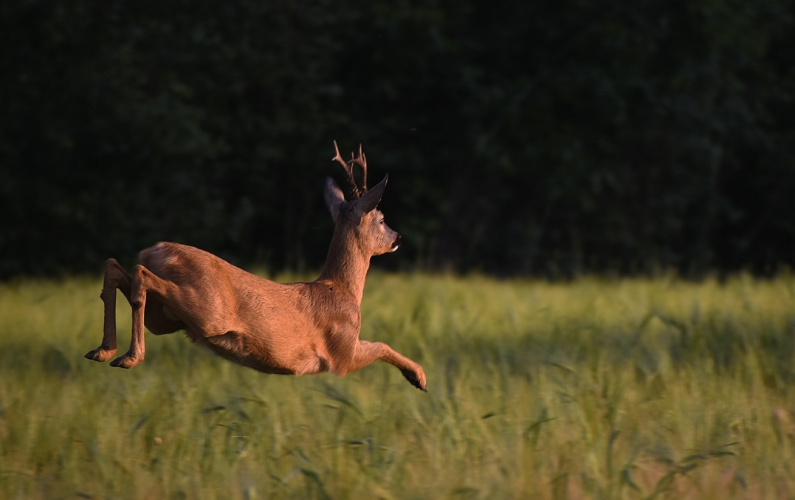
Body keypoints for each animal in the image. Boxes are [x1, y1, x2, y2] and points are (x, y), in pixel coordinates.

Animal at [83, 141, 426, 390]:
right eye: (381, 218)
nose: (397, 237)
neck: (342, 289)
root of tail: (155, 250)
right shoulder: (341, 353)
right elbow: (381, 345)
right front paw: (419, 377)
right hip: (207, 310)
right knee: (140, 275)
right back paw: (129, 356)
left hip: (167, 318)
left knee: (116, 267)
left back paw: (103, 351)